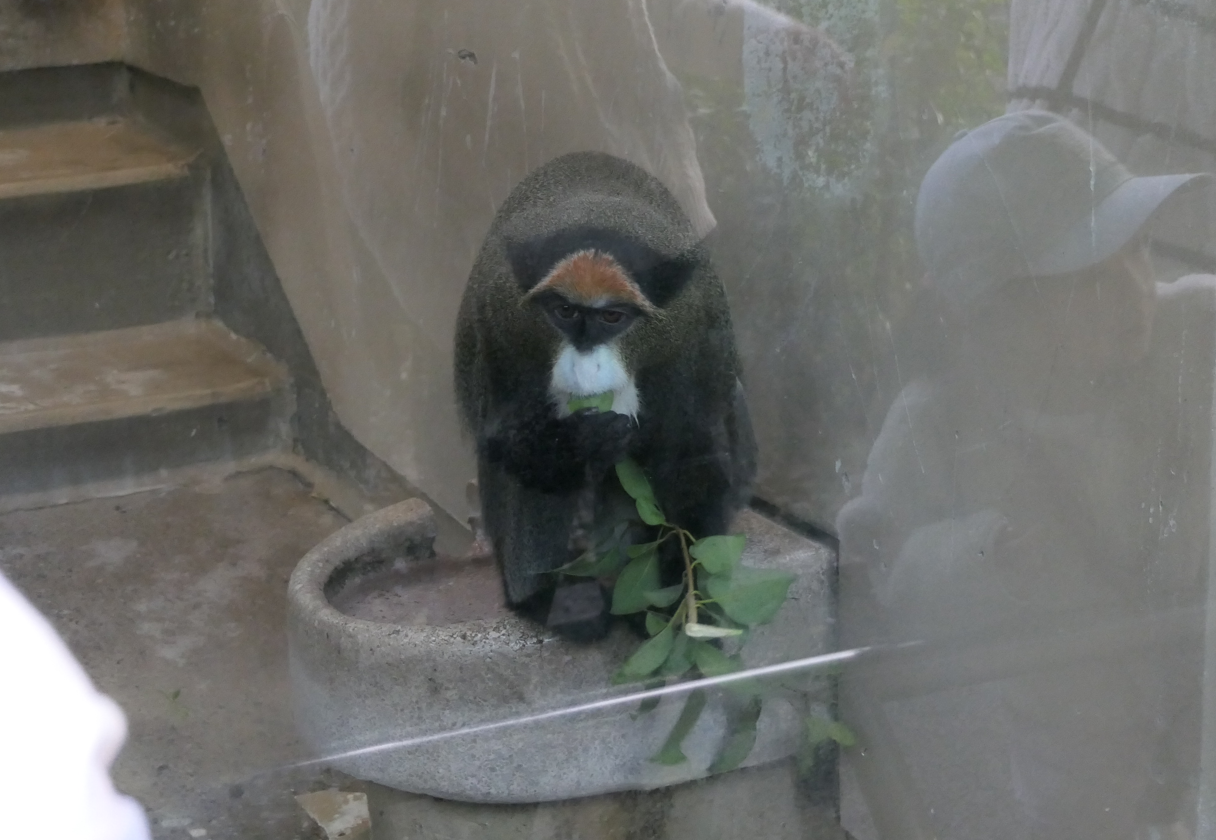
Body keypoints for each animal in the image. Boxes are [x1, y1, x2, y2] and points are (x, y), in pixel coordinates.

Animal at [454, 151, 756, 640]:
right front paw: (580, 441)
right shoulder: (496, 323)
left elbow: (696, 458)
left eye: (613, 317)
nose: (585, 366)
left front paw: (686, 605)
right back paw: (548, 598)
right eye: (564, 311)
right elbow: (505, 441)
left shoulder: (702, 331)